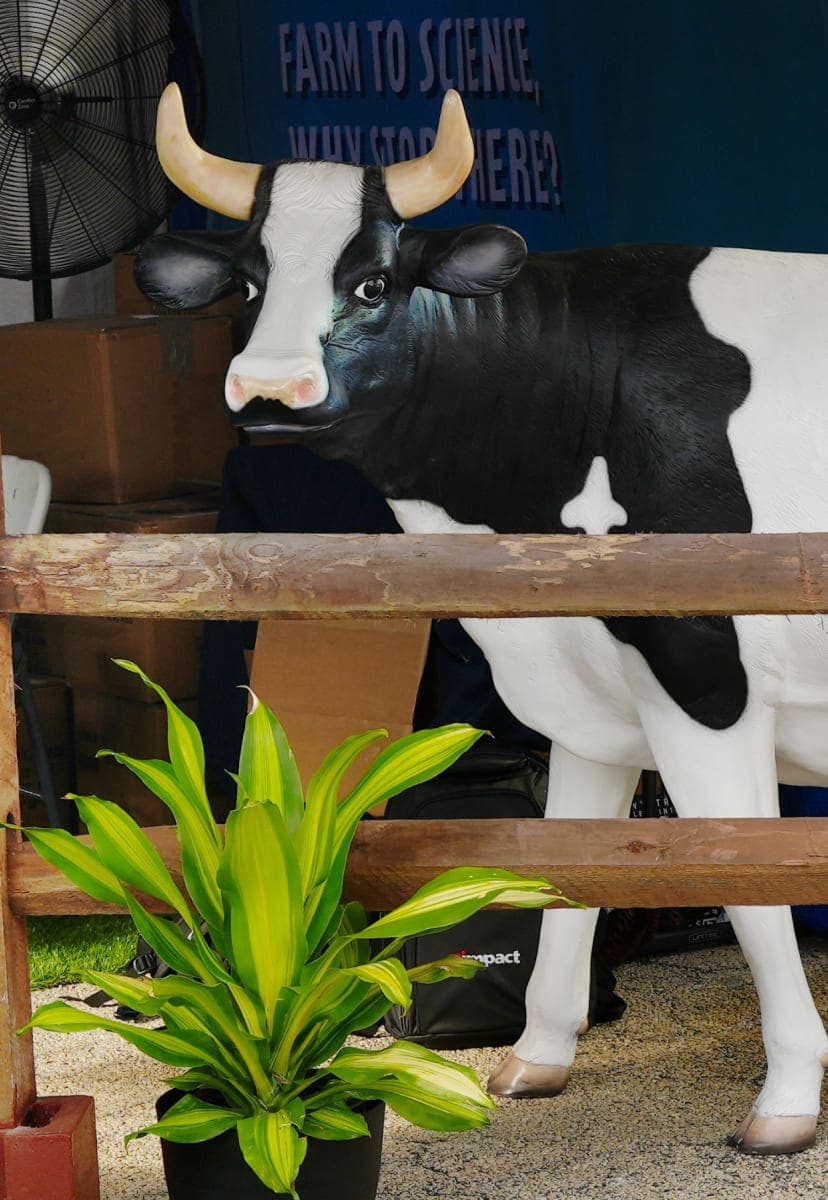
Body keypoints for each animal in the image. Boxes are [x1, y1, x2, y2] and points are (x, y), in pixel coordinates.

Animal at [135, 82, 825, 1152]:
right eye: (248, 283)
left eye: (373, 283)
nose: (269, 388)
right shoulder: (594, 699)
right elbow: (570, 872)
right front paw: (536, 1059)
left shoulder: (706, 682)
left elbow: (756, 897)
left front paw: (787, 1101)